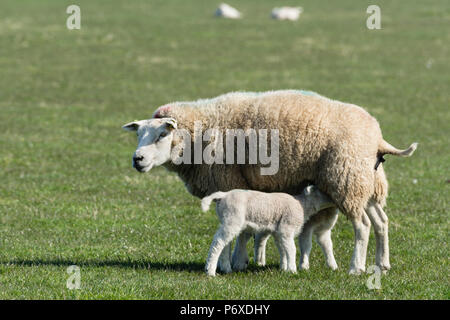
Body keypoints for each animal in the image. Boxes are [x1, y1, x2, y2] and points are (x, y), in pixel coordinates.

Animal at [200, 185, 334, 276]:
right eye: (323, 191)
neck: (303, 206)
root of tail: (223, 195)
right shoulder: (286, 228)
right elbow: (292, 249)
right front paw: (292, 270)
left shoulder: (278, 232)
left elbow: (282, 250)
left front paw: (284, 268)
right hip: (232, 219)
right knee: (218, 242)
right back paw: (210, 271)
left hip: (228, 219)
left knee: (225, 244)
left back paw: (226, 268)